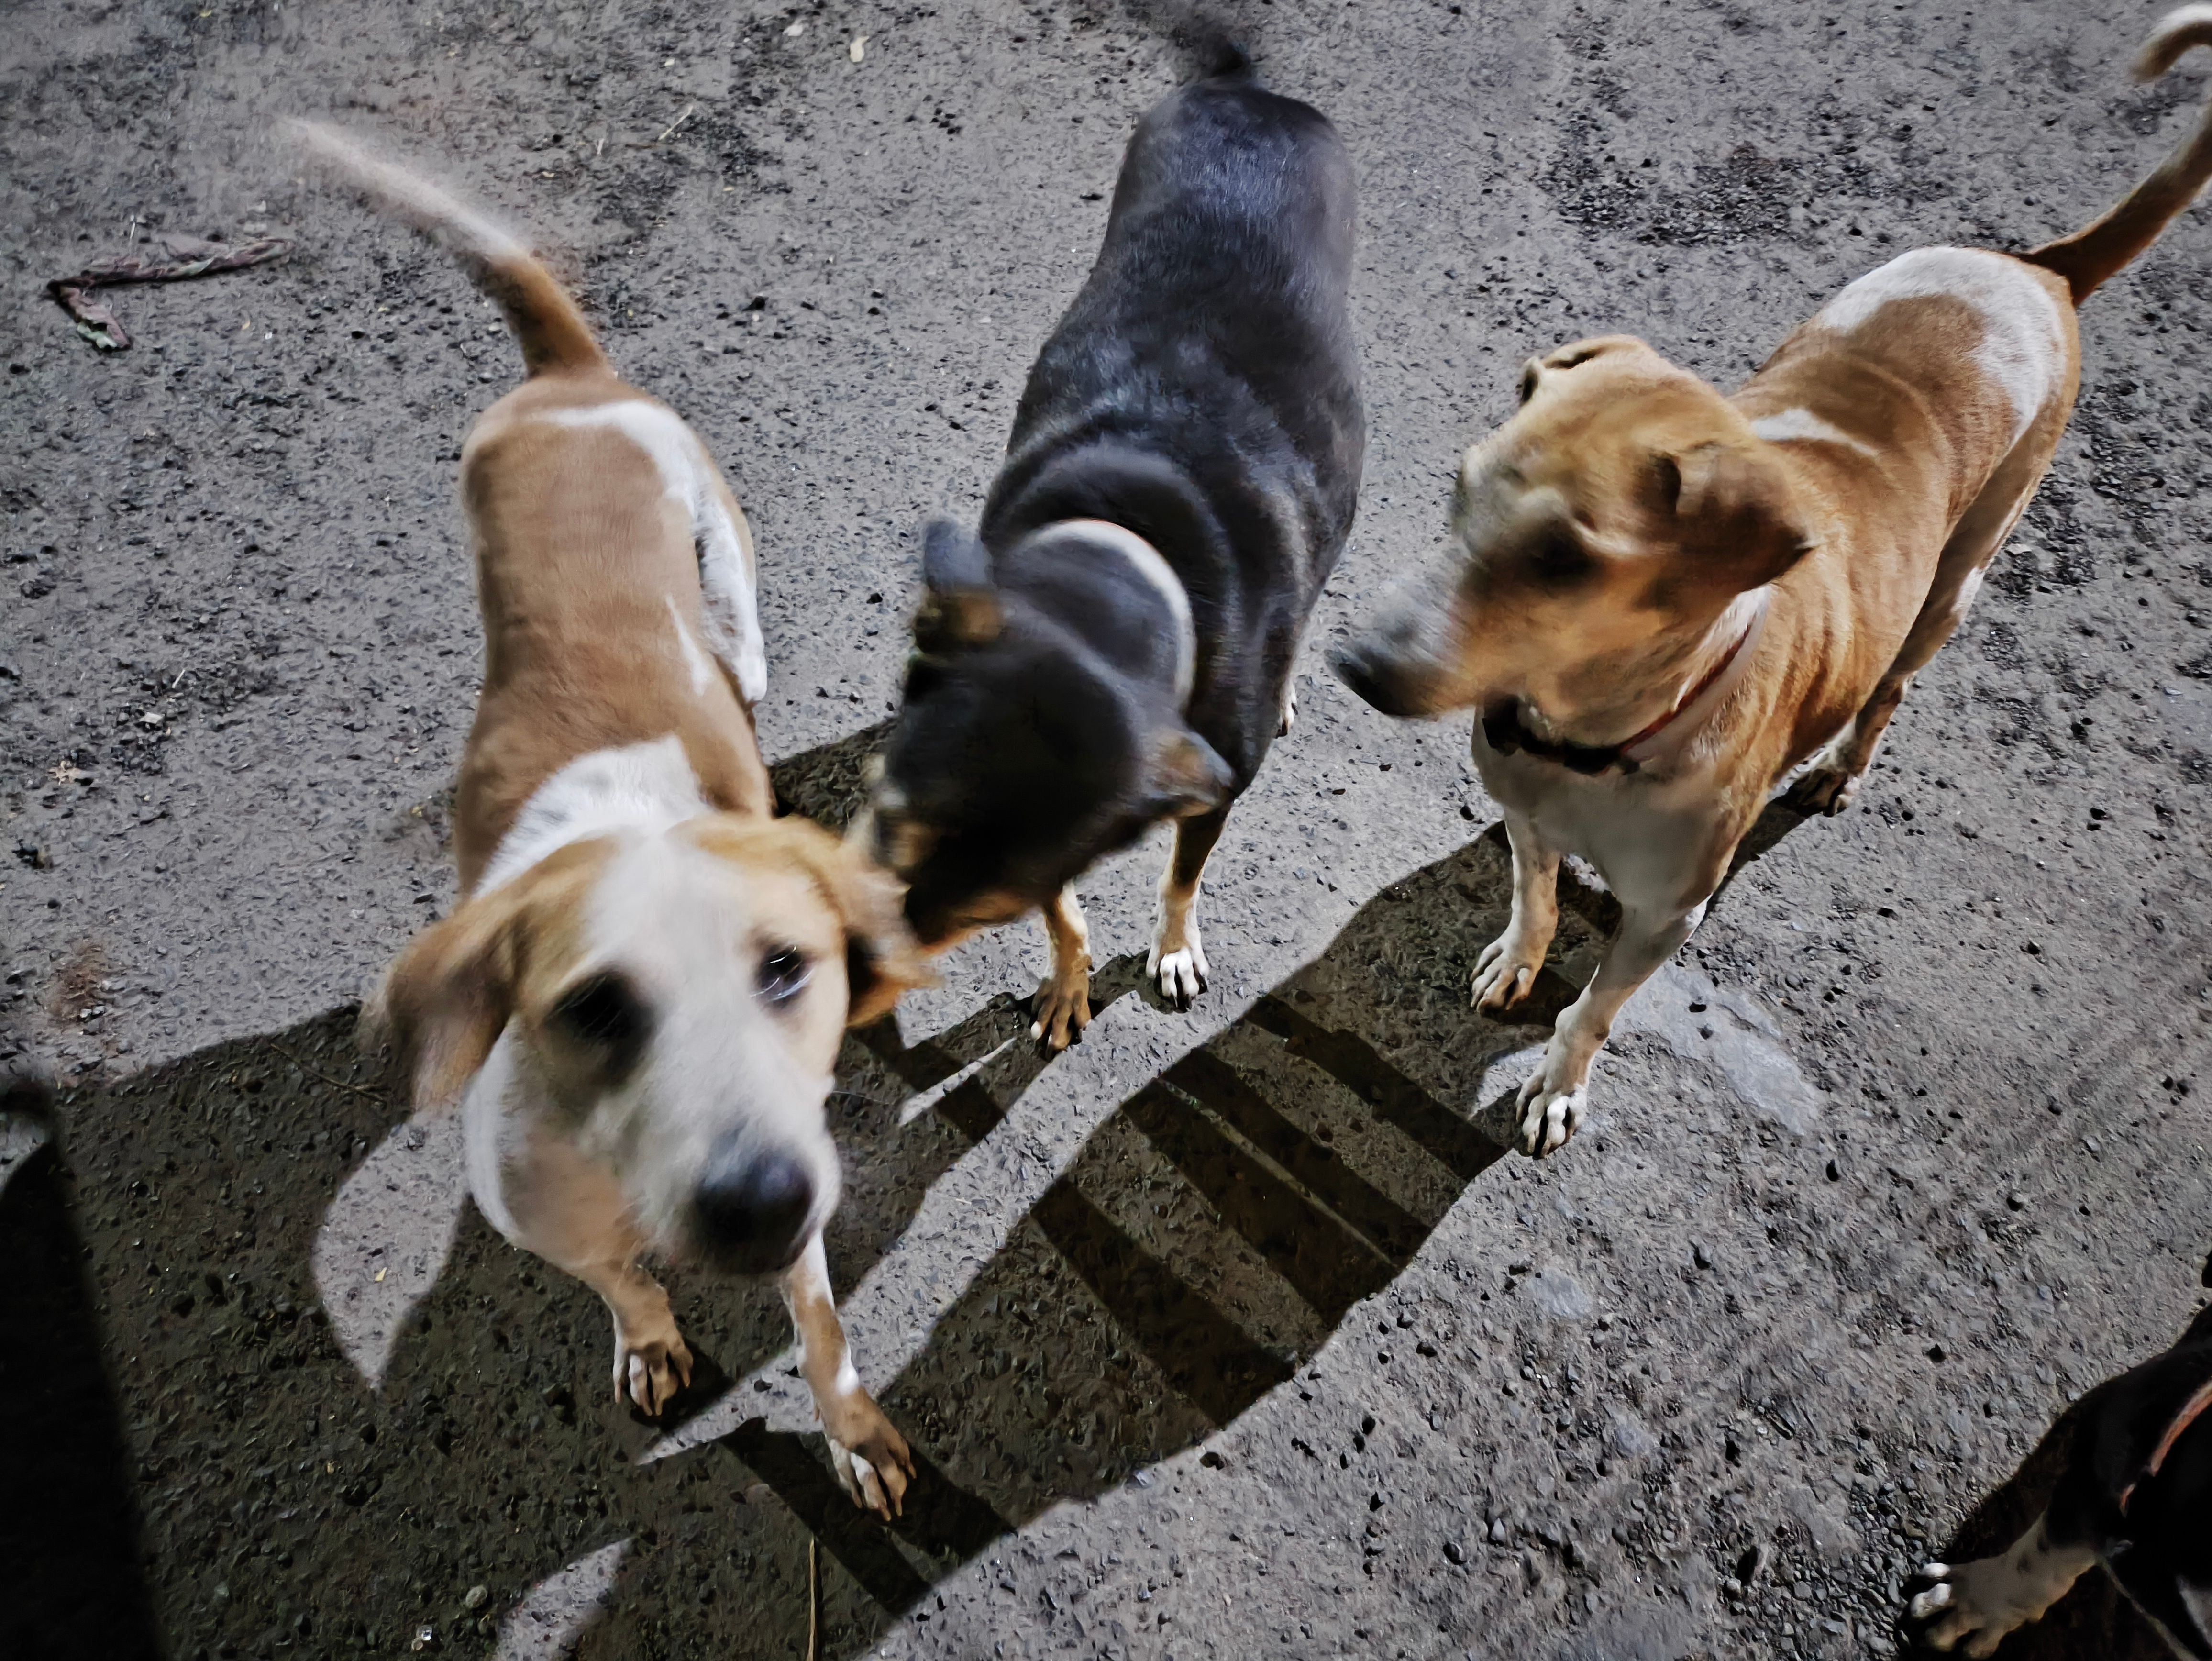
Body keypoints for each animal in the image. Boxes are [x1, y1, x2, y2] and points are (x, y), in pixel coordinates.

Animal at [867, 42, 1362, 1052]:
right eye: (888, 824)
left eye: (984, 910)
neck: (1128, 554)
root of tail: (1249, 90)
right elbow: (1067, 911)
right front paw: (1068, 978)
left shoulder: (1208, 786)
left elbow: (1179, 875)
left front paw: (1169, 950)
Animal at [1327, 10, 2212, 1159]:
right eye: (1458, 486)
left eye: (1562, 559)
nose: (1350, 662)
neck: (1599, 740)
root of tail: (2035, 270)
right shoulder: (1528, 818)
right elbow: (1535, 898)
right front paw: (1518, 954)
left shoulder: (1666, 918)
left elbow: (1594, 1009)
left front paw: (1558, 1080)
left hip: (1953, 586)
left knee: (1887, 691)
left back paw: (1842, 766)